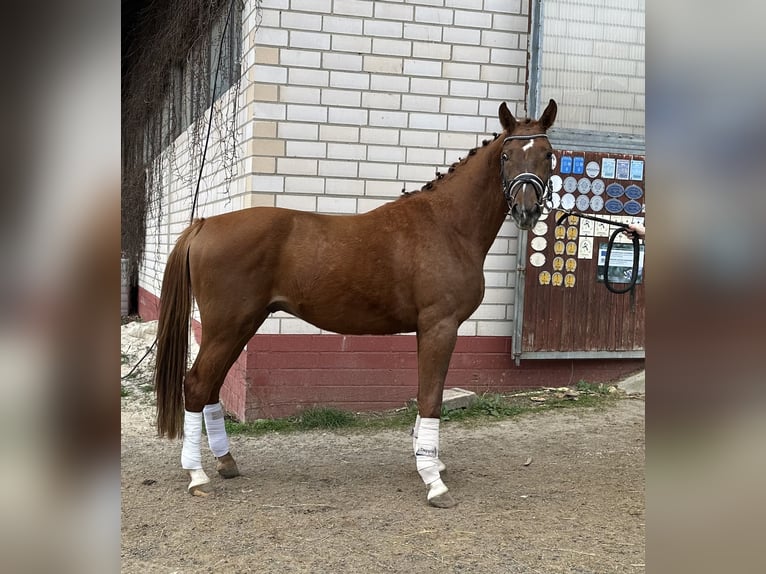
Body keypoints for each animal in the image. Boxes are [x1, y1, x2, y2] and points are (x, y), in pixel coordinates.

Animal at [154, 99, 560, 508]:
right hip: (227, 327)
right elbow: (431, 398)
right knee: (196, 385)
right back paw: (197, 475)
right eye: (506, 155)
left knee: (211, 386)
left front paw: (427, 460)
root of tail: (205, 223)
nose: (526, 210)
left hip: (241, 327)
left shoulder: (427, 330)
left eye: (547, 154)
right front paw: (433, 481)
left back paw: (226, 462)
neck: (446, 226)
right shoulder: (440, 326)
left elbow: (425, 394)